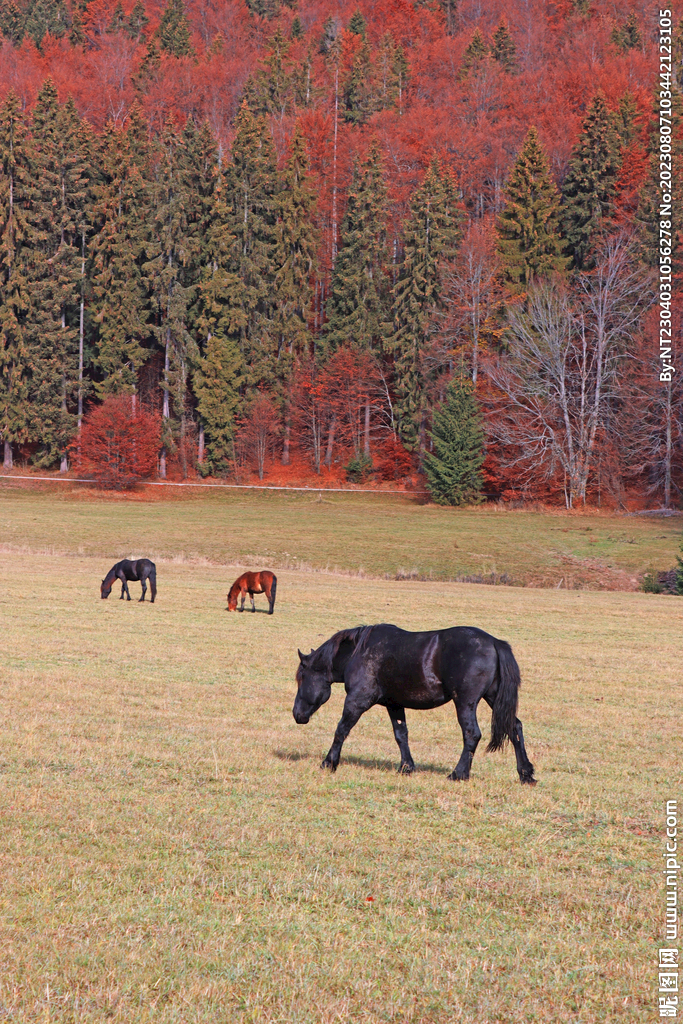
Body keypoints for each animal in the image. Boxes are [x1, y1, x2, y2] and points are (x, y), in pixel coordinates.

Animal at [293, 623, 536, 785]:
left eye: (301, 678)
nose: (297, 714)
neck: (359, 653)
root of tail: (494, 642)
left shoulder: (357, 701)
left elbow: (341, 730)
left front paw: (329, 763)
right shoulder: (394, 705)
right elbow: (401, 735)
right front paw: (406, 767)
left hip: (465, 703)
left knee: (472, 734)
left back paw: (458, 774)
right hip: (494, 698)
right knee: (515, 728)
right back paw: (525, 774)